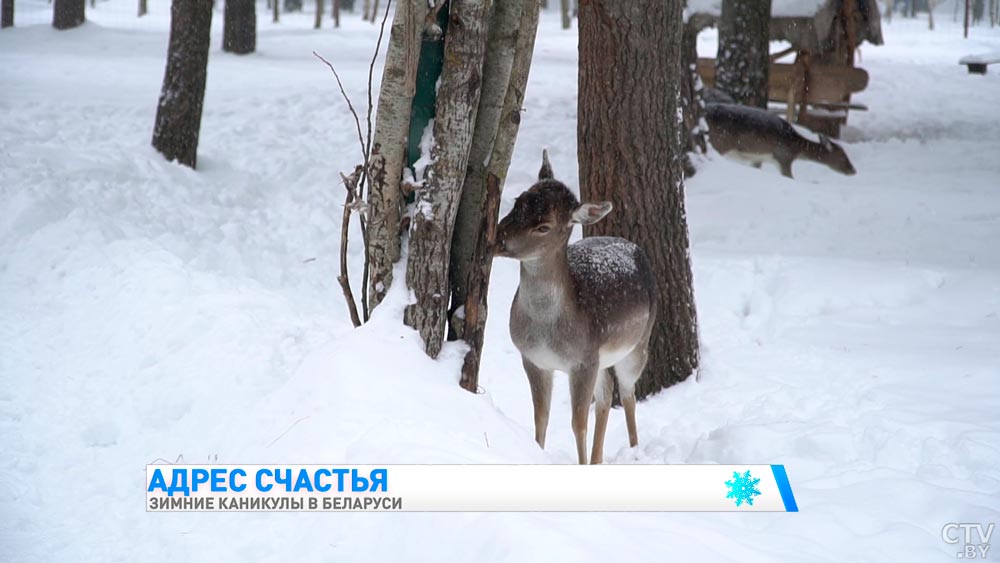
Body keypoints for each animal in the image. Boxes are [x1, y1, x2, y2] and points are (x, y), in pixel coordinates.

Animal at [496, 152, 660, 464]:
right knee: (607, 395)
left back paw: (634, 450)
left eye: (544, 226)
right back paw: (598, 459)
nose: (497, 239)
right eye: (518, 201)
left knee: (628, 393)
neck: (547, 331)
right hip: (602, 359)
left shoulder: (583, 359)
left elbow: (578, 423)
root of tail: (633, 246)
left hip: (637, 344)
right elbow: (541, 418)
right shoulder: (532, 358)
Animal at [704, 102, 860, 178]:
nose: (853, 170)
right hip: (719, 142)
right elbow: (790, 177)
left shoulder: (758, 159)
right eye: (843, 156)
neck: (796, 147)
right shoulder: (784, 156)